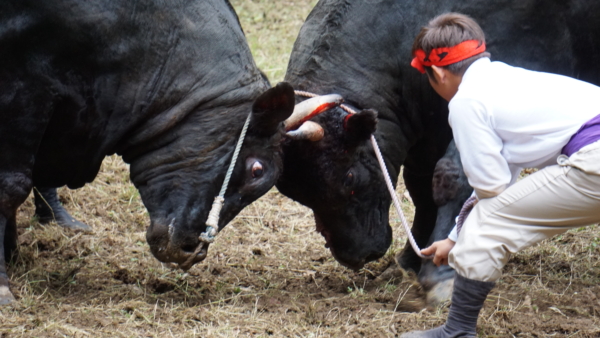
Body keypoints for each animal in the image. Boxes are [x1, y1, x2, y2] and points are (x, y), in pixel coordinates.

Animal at [276, 0, 600, 298]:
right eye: (299, 196)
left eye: (349, 177)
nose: (355, 256)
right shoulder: (424, 140)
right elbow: (422, 191)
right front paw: (409, 260)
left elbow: (453, 175)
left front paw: (440, 270)